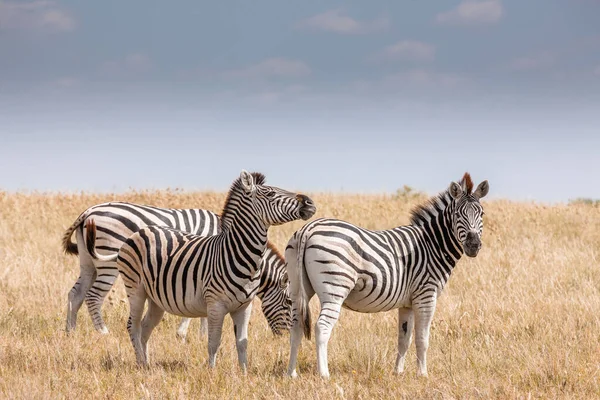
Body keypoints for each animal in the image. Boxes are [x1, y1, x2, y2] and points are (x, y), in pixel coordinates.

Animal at [61, 202, 292, 340]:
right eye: (289, 303)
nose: (285, 337)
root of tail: (88, 212)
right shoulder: (201, 269)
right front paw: (188, 334)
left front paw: (200, 335)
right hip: (108, 258)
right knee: (93, 296)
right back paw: (103, 332)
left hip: (88, 261)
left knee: (75, 294)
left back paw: (70, 331)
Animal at [86, 170, 316, 372]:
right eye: (270, 194)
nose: (309, 203)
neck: (238, 254)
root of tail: (138, 233)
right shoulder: (215, 304)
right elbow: (213, 341)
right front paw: (211, 372)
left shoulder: (245, 306)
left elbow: (242, 342)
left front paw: (244, 373)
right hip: (136, 289)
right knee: (132, 326)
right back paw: (140, 364)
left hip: (156, 299)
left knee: (145, 328)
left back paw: (147, 363)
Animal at [284, 172, 488, 378]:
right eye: (457, 214)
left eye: (482, 214)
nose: (473, 245)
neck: (432, 245)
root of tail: (308, 229)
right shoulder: (426, 295)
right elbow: (422, 339)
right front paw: (422, 374)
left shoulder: (407, 303)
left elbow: (404, 339)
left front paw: (398, 372)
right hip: (335, 289)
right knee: (322, 327)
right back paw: (324, 374)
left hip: (298, 287)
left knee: (296, 327)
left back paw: (291, 373)